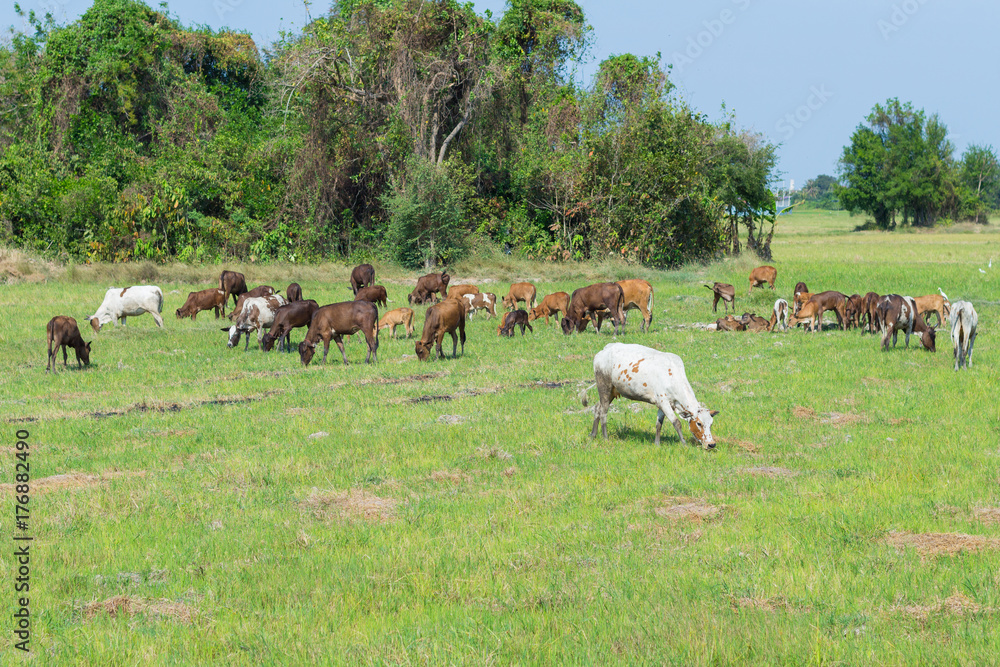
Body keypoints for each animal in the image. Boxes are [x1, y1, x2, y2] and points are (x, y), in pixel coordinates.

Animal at [581, 343, 718, 448]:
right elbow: (676, 422)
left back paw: (593, 434)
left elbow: (659, 424)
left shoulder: (662, 404)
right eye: (699, 423)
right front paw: (684, 443)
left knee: (597, 407)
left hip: (612, 392)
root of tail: (605, 349)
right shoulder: (663, 401)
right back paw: (605, 437)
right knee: (603, 412)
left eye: (711, 423)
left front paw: (657, 444)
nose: (711, 444)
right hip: (604, 386)